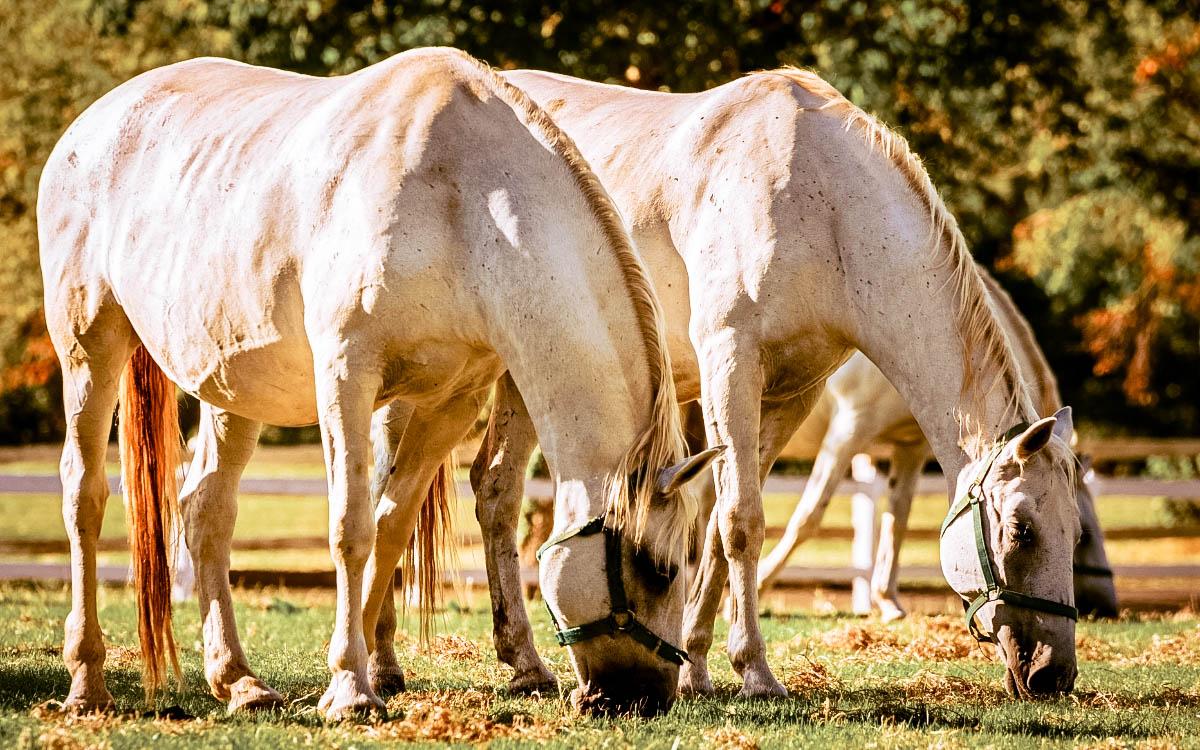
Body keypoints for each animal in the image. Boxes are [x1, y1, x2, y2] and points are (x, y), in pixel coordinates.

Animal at [39, 47, 710, 719]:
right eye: (659, 569)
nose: (646, 697)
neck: (461, 200)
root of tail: (88, 125)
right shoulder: (346, 377)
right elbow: (351, 530)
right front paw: (351, 689)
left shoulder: (450, 403)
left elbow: (389, 527)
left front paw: (359, 667)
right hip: (89, 347)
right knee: (83, 495)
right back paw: (86, 681)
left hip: (233, 385)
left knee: (205, 509)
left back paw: (239, 681)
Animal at [385, 66, 1083, 700]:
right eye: (1021, 531)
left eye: (1076, 534)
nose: (1052, 675)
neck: (823, 203)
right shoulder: (731, 363)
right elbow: (742, 522)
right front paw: (755, 672)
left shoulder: (791, 394)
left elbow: (720, 528)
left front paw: (695, 667)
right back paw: (389, 661)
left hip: (530, 376)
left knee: (493, 492)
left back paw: (523, 664)